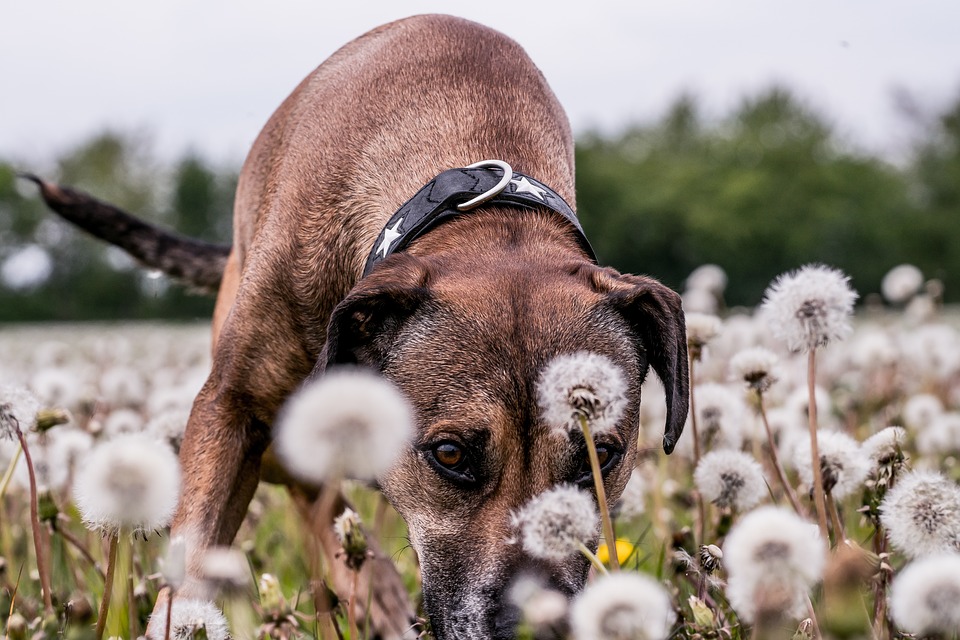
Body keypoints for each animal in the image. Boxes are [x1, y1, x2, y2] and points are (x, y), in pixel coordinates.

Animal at [30, 15, 688, 640]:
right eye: (450, 454)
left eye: (603, 455)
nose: (535, 627)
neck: (479, 199)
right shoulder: (231, 409)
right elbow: (193, 562)